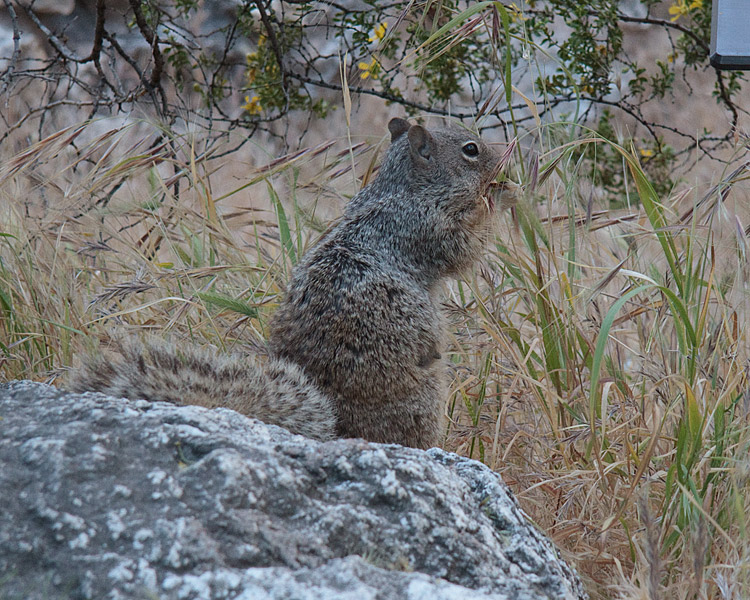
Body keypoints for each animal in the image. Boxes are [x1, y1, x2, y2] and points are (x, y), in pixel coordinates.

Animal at [72, 117, 506, 448]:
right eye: (470, 149)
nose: (503, 162)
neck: (403, 187)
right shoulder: (424, 229)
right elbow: (466, 249)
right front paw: (496, 203)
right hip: (423, 400)